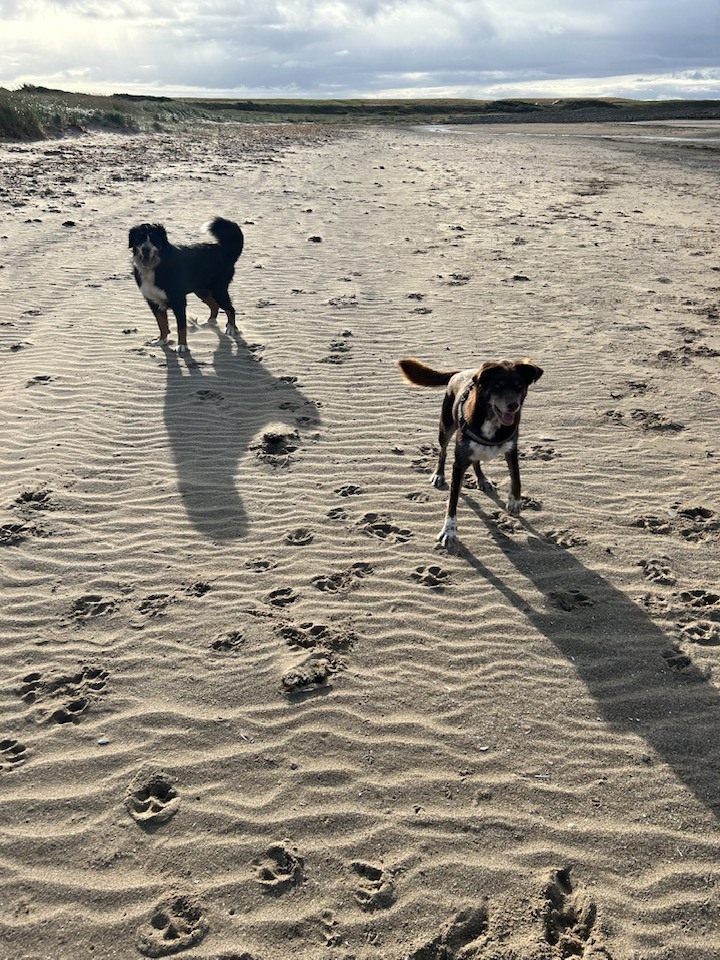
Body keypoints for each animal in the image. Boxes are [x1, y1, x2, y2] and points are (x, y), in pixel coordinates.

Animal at [128, 218, 243, 352]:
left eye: (154, 238)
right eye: (140, 238)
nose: (146, 249)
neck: (157, 265)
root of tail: (224, 250)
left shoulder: (178, 300)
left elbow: (181, 327)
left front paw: (182, 345)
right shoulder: (153, 301)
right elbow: (162, 324)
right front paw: (162, 340)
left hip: (218, 290)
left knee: (230, 309)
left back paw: (231, 328)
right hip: (202, 290)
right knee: (214, 305)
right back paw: (209, 322)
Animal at [396, 356, 544, 548]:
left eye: (519, 386)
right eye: (497, 386)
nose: (513, 406)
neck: (492, 420)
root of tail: (461, 372)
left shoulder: (511, 449)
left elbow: (516, 477)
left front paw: (515, 502)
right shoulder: (459, 463)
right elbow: (452, 501)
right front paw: (449, 531)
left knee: (476, 461)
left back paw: (482, 479)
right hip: (446, 427)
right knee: (443, 452)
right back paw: (439, 475)